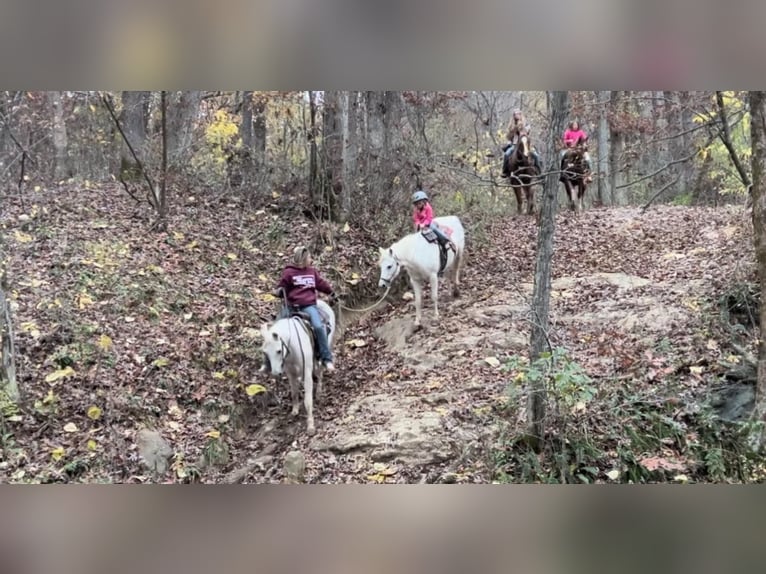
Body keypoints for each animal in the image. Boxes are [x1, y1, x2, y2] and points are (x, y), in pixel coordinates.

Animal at [260, 302, 336, 436]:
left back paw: (319, 391)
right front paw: (294, 410)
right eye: (265, 353)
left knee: (320, 371)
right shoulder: (290, 373)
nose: (275, 373)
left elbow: (308, 401)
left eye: (279, 351)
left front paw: (310, 426)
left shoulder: (306, 371)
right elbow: (294, 392)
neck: (291, 347)